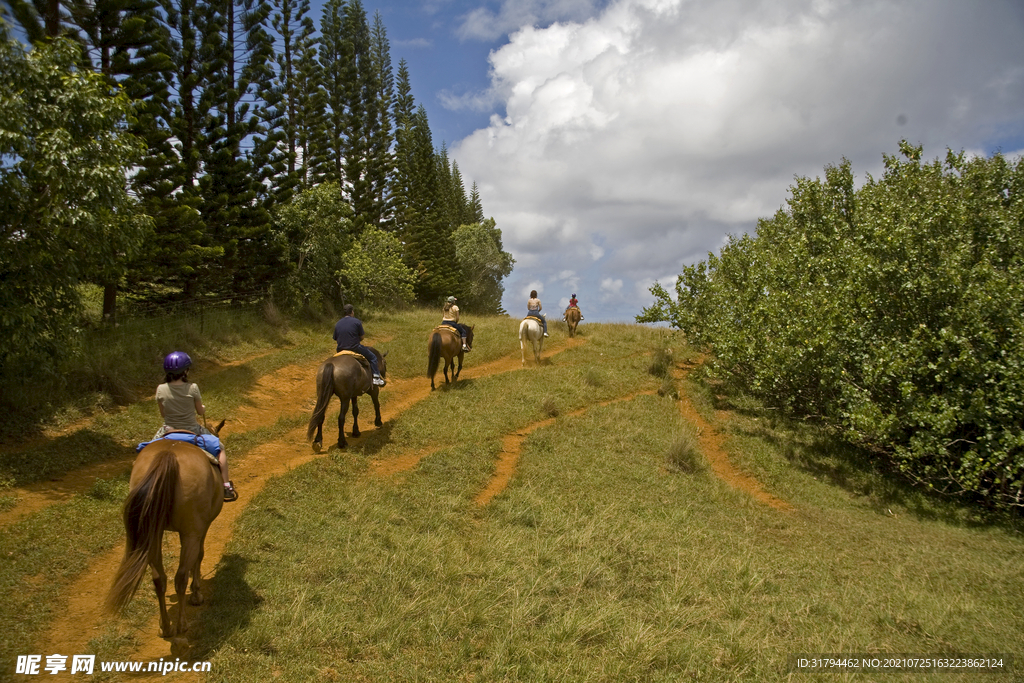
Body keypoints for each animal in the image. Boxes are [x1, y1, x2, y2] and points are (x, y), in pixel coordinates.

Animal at [107, 421, 225, 643]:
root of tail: (168, 455)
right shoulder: (201, 527)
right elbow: (199, 556)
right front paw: (196, 593)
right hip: (189, 532)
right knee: (180, 577)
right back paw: (181, 625)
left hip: (152, 533)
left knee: (159, 579)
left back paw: (166, 626)